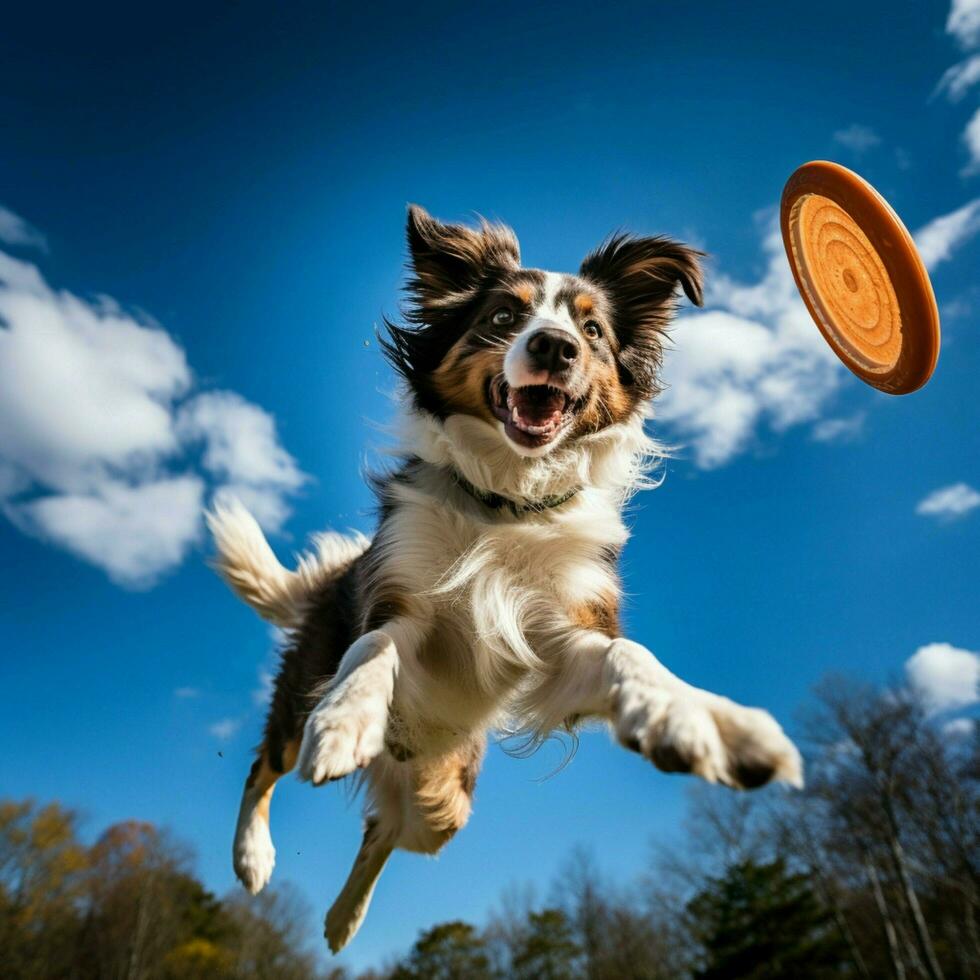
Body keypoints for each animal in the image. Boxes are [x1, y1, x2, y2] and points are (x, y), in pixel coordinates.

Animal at [209, 205, 804, 948]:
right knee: (265, 765)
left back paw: (344, 920)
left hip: (445, 803)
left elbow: (631, 657)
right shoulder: (400, 606)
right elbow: (372, 650)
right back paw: (253, 856)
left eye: (593, 330)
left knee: (384, 829)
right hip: (304, 688)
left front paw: (696, 716)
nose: (555, 347)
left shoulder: (565, 637)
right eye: (502, 316)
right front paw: (346, 719)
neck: (505, 502)